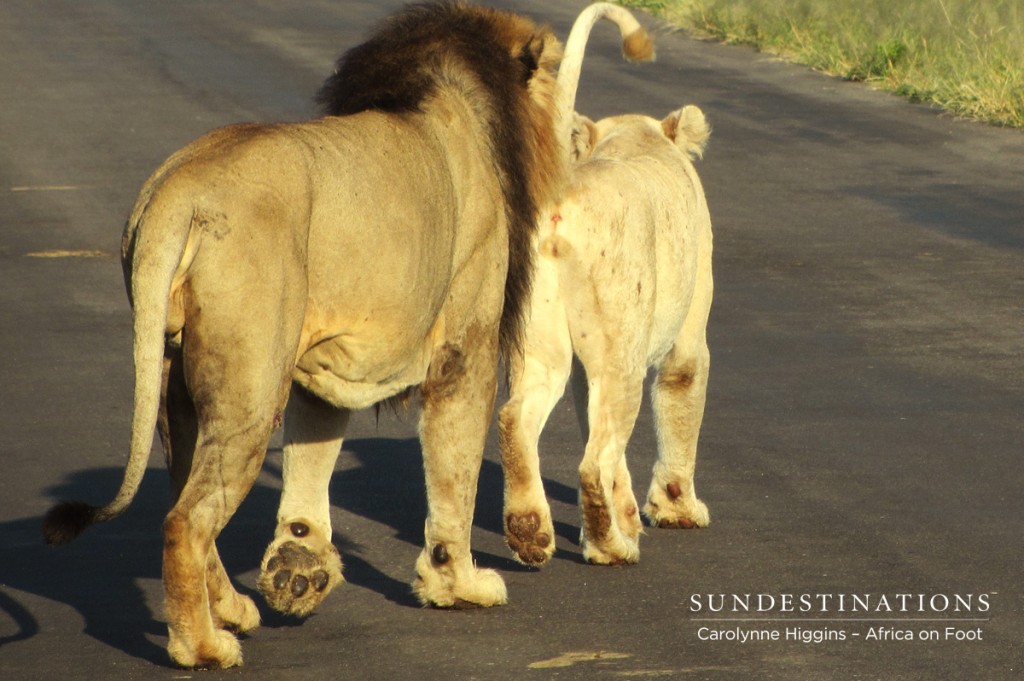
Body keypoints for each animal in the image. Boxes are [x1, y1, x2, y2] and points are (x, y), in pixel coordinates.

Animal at [44, 1, 565, 667]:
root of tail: (178, 191)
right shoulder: (465, 347)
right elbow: (457, 471)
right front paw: (458, 584)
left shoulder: (326, 360)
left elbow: (314, 456)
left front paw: (300, 561)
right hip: (251, 387)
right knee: (186, 519)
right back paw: (202, 646)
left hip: (172, 381)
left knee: (183, 496)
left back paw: (233, 611)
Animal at [497, 6, 708, 569]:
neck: (638, 139)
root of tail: (559, 192)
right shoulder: (687, 330)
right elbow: (682, 388)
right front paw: (676, 509)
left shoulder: (580, 367)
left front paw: (631, 513)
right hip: (622, 351)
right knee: (594, 459)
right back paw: (611, 547)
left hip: (541, 339)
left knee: (516, 418)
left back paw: (531, 533)